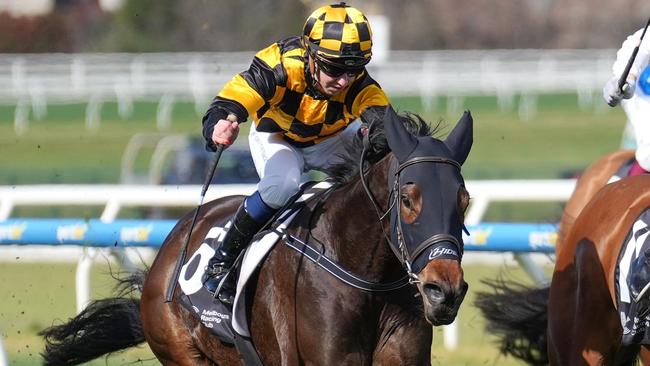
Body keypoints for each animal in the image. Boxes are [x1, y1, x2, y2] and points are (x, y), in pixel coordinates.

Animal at [40, 104, 474, 364]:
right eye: (408, 199)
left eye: (464, 199)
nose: (445, 291)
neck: (366, 273)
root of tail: (164, 256)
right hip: (181, 350)